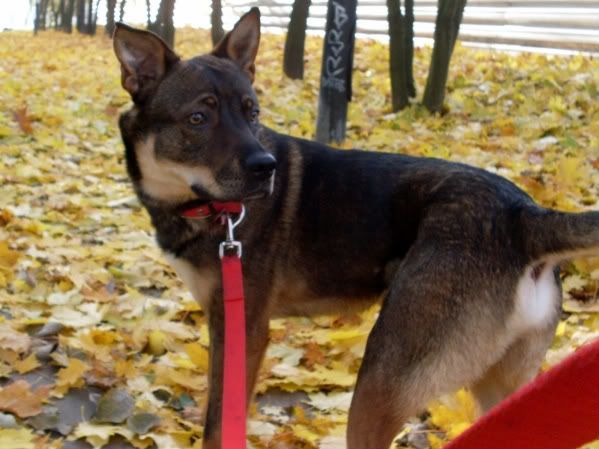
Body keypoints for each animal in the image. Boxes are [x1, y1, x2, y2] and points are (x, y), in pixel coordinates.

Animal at [113, 9, 599, 448]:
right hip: (506, 390)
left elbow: (218, 424)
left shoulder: (242, 327)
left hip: (380, 383)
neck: (204, 208)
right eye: (198, 119)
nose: (266, 169)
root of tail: (522, 214)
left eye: (252, 112)